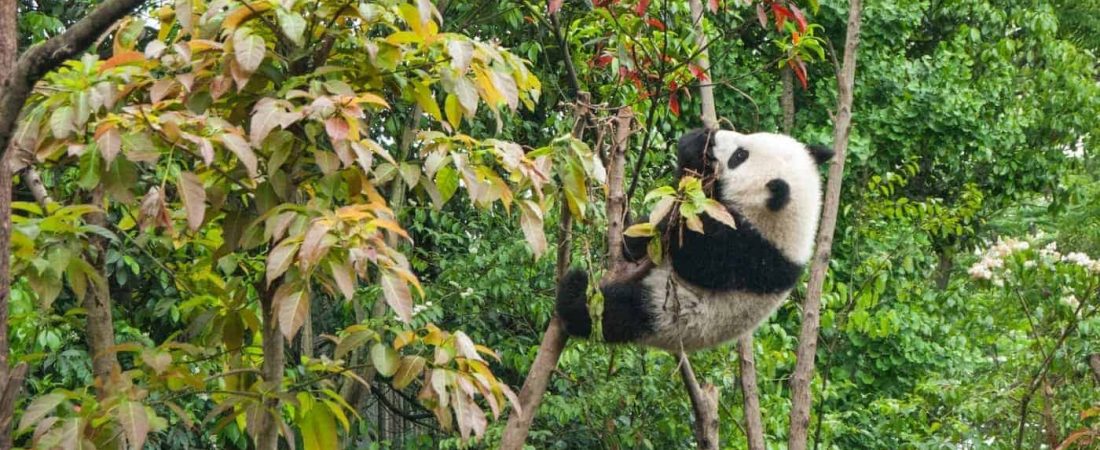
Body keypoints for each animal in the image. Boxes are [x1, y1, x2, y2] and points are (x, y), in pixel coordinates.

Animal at [558, 126, 831, 349]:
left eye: (739, 156)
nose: (716, 137)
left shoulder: (752, 254)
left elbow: (695, 258)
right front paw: (695, 144)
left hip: (668, 314)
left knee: (617, 312)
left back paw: (573, 291)